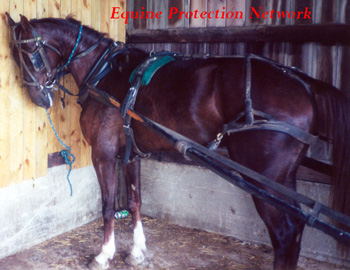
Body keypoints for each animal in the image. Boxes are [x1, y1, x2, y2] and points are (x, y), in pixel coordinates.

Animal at [5, 14, 350, 270]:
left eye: (27, 55)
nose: (38, 97)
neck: (104, 71)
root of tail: (303, 84)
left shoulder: (103, 154)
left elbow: (108, 205)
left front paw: (104, 254)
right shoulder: (131, 154)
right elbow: (135, 202)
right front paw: (137, 252)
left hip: (264, 179)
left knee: (285, 234)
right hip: (284, 178)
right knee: (296, 232)